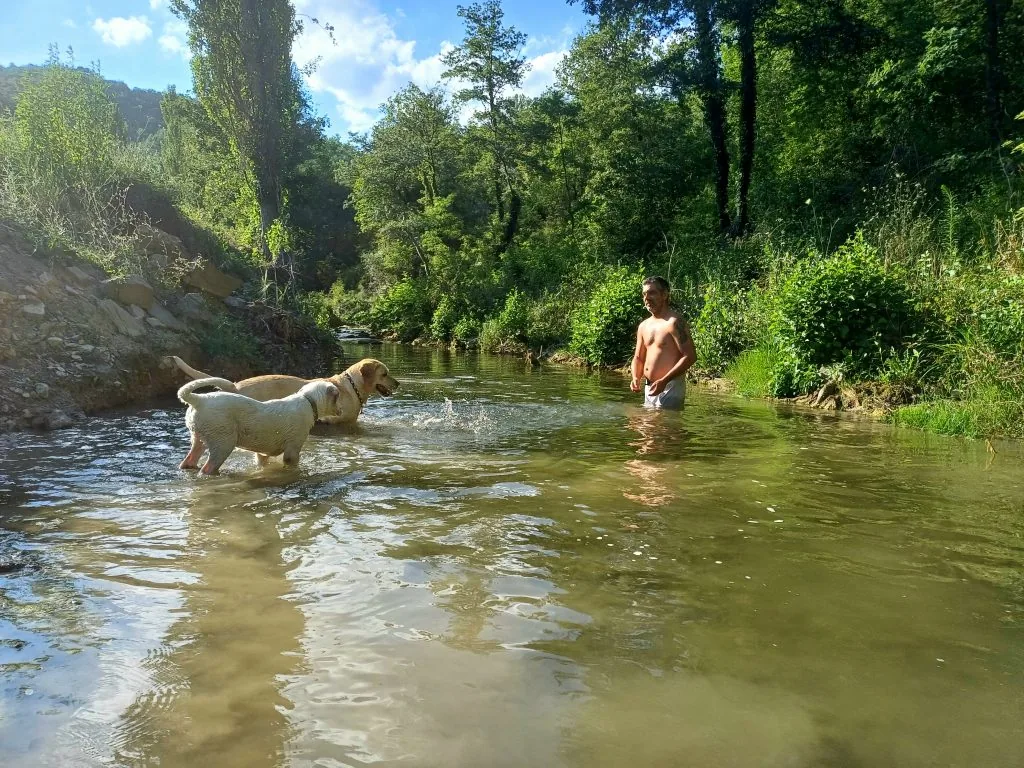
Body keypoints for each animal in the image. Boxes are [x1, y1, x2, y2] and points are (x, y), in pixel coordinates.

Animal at [178, 376, 342, 479]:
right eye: (337, 396)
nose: (341, 411)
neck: (308, 400)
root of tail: (199, 400)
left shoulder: (262, 454)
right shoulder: (292, 451)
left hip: (198, 440)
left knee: (188, 462)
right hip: (223, 443)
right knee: (207, 469)